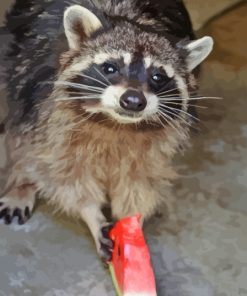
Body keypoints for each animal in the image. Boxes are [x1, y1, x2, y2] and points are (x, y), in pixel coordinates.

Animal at [0, 0, 212, 260]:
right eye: (110, 68)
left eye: (157, 76)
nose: (133, 100)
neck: (115, 123)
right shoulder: (47, 105)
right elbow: (65, 172)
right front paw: (91, 213)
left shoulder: (161, 136)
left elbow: (141, 178)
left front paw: (131, 221)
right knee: (19, 133)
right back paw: (21, 183)